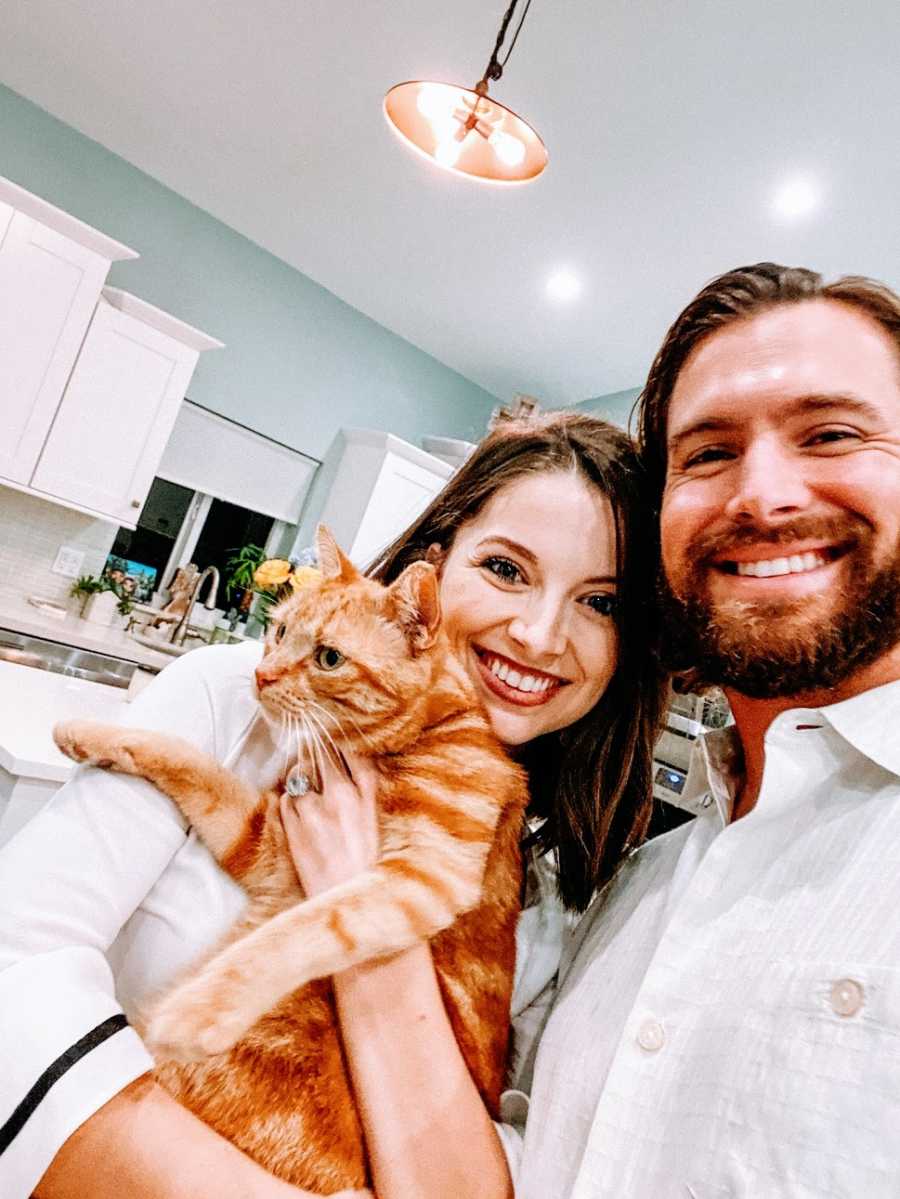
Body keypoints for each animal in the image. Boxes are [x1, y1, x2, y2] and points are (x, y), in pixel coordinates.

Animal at [54, 529, 527, 1194]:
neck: (415, 735)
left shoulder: (427, 874)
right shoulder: (265, 839)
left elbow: (303, 928)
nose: (261, 672)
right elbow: (189, 763)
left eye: (328, 658)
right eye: (278, 630)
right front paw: (86, 730)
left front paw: (197, 1011)